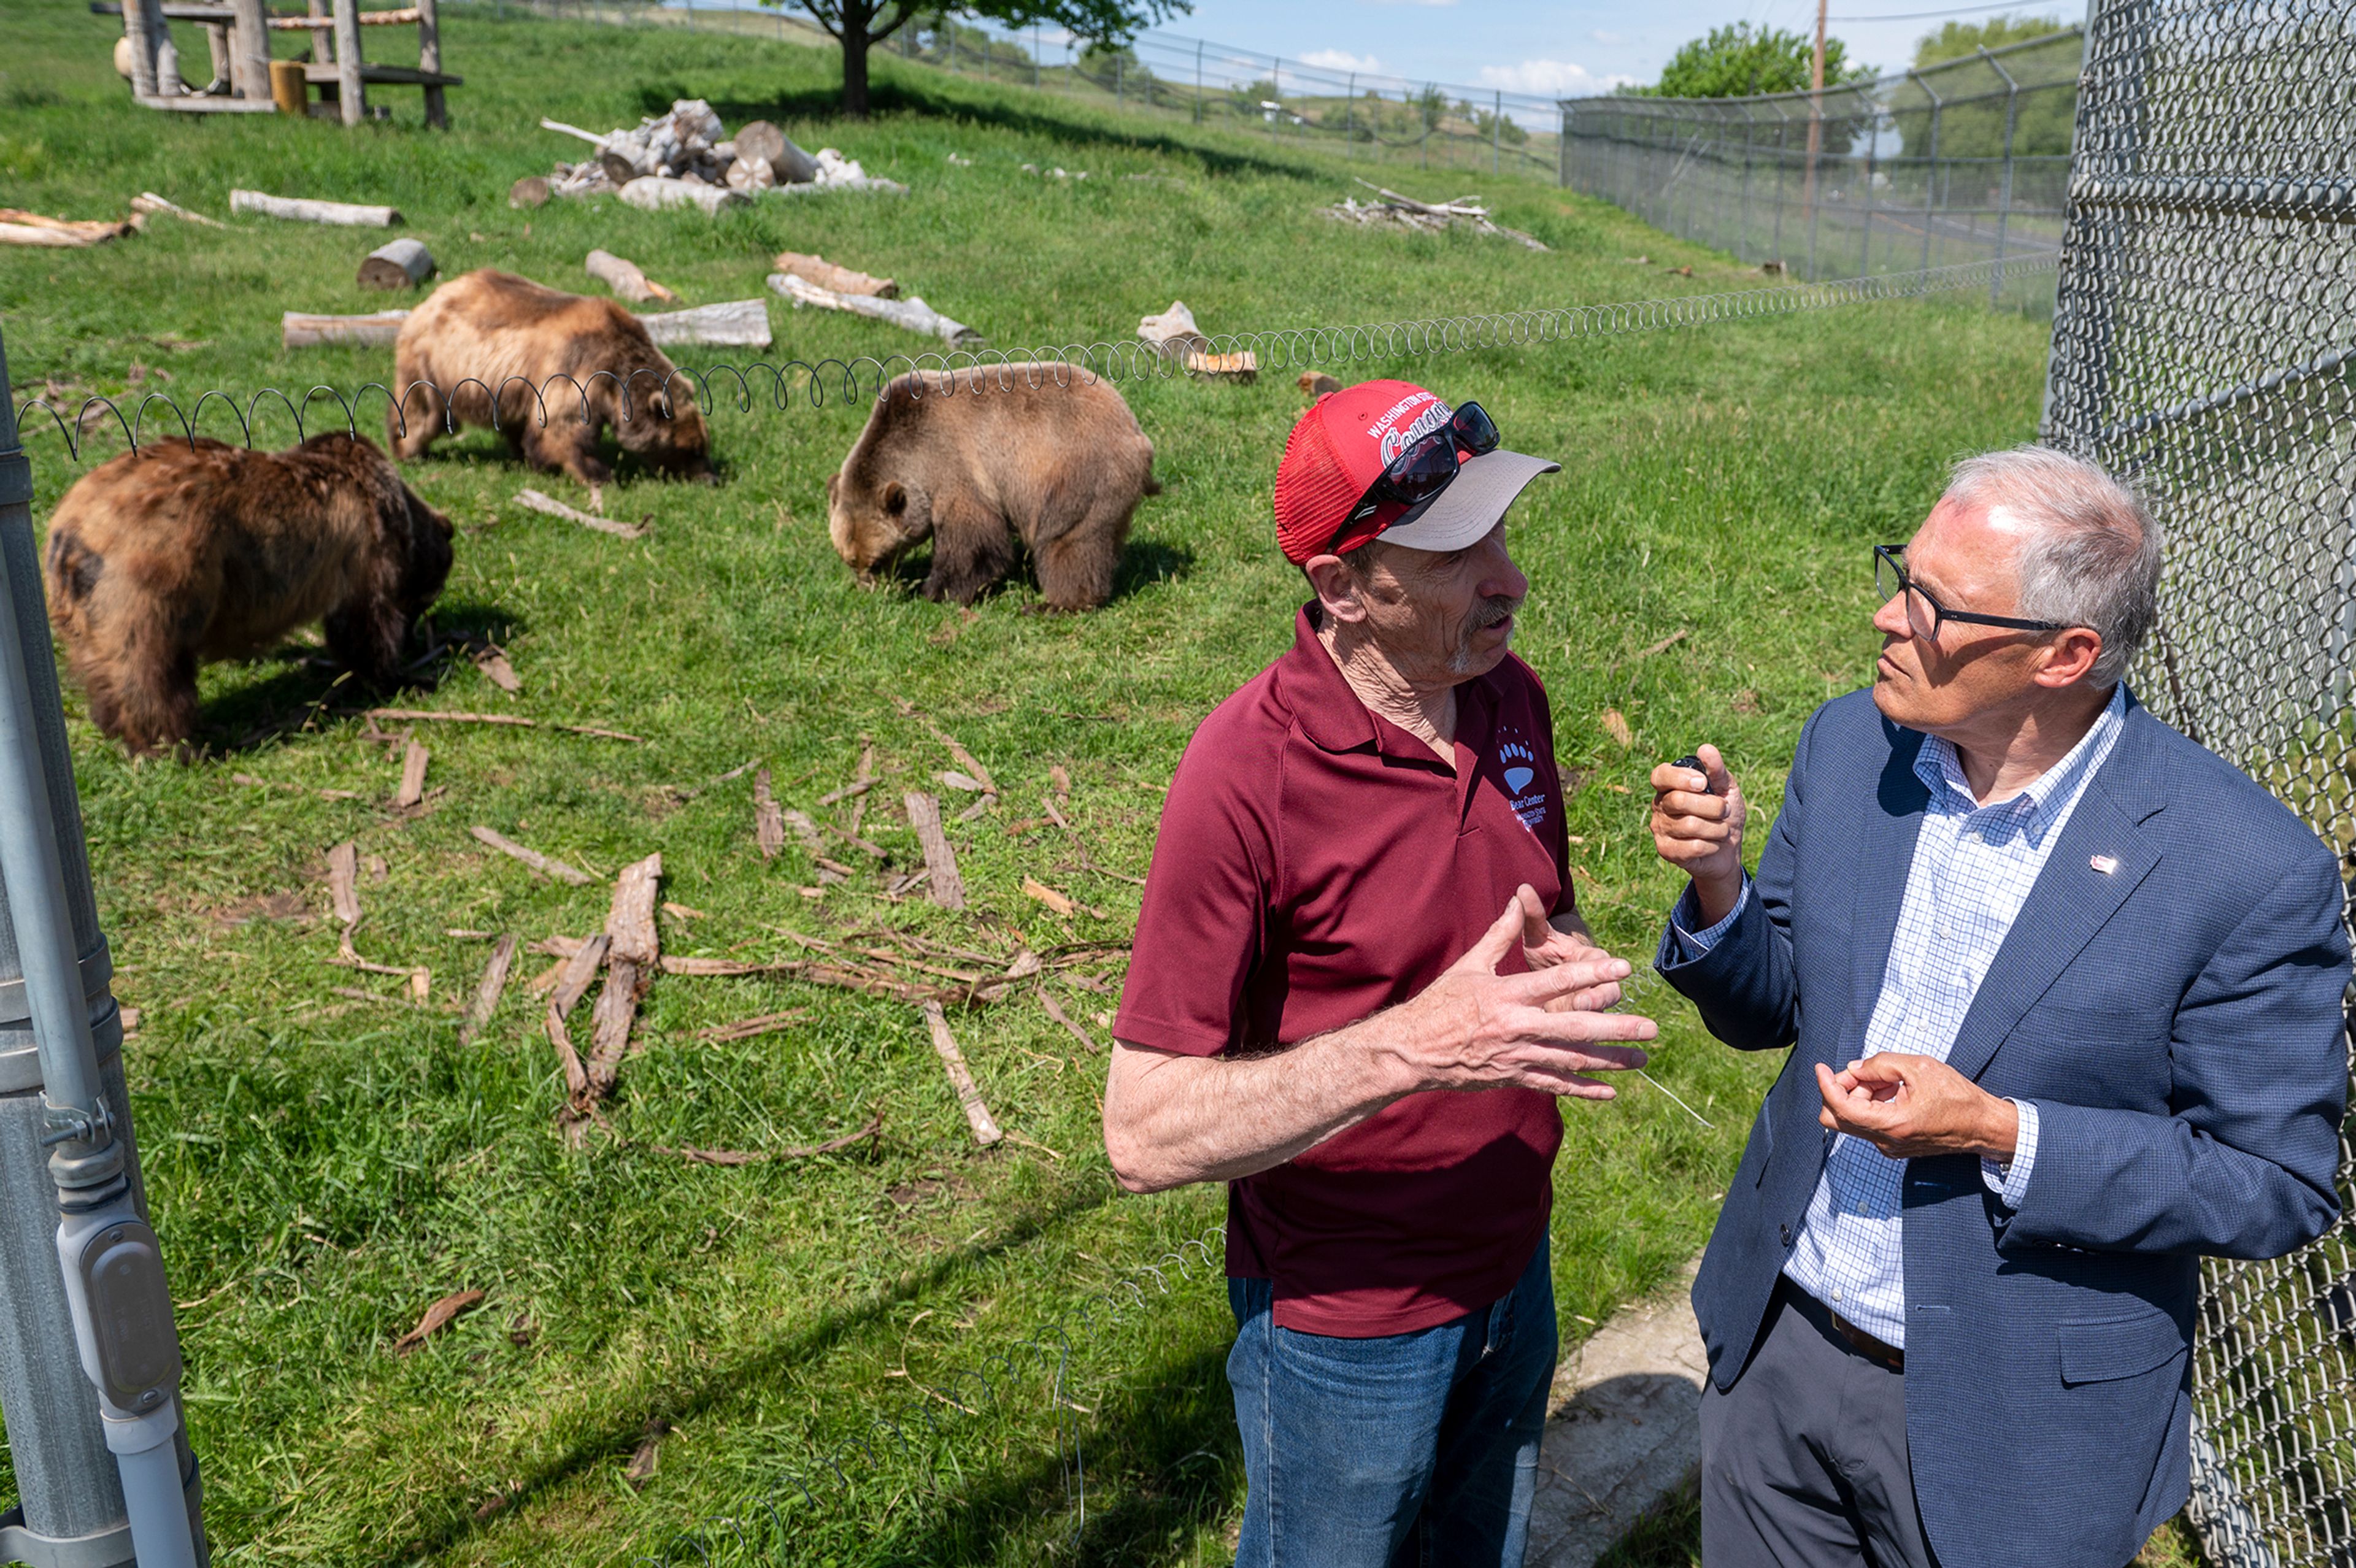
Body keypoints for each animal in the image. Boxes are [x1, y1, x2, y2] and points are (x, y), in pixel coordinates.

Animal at [41, 423, 452, 748]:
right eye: (424, 601)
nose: (414, 639)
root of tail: (70, 532)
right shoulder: (366, 549)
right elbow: (365, 622)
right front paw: (402, 678)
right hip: (158, 573)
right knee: (147, 667)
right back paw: (179, 742)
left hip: (81, 612)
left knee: (104, 667)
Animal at [388, 268, 707, 485]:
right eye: (692, 450)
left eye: (704, 445)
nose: (711, 478)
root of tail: (426, 302)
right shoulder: (578, 370)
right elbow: (563, 428)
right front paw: (598, 472)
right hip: (434, 363)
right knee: (421, 410)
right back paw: (408, 450)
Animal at [829, 367, 1159, 612]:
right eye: (850, 560)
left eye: (877, 561)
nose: (870, 589)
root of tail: (1137, 433)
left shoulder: (955, 470)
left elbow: (973, 543)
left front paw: (934, 590)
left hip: (1078, 474)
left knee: (1069, 540)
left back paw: (1055, 604)